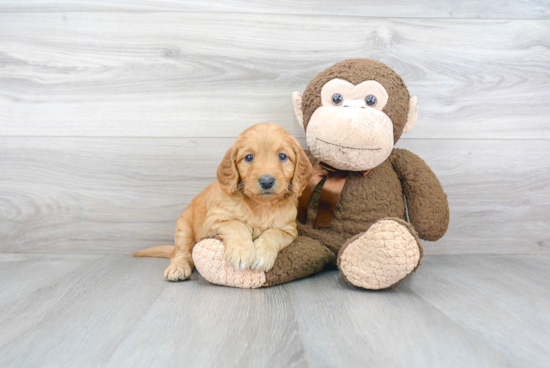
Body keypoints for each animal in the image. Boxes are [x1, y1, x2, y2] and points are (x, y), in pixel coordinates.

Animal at [134, 123, 314, 282]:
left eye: (282, 156)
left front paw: (261, 255)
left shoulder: (289, 230)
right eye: (249, 157)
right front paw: (242, 252)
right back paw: (178, 268)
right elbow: (238, 225)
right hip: (184, 229)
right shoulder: (213, 221)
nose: (267, 181)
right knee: (181, 253)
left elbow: (273, 233)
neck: (260, 206)